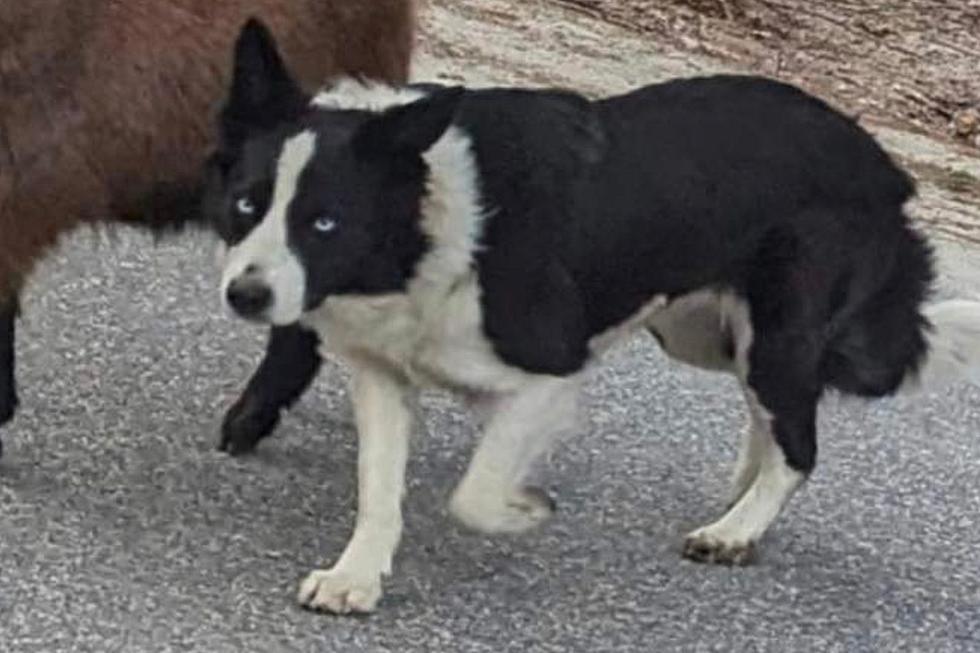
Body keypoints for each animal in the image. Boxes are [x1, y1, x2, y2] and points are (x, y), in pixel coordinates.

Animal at [205, 20, 980, 612]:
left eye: (325, 223)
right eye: (246, 203)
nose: (245, 296)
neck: (425, 222)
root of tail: (883, 164)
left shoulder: (551, 373)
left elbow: (474, 493)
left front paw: (523, 510)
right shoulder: (382, 375)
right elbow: (378, 488)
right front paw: (356, 578)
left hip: (775, 332)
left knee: (801, 442)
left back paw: (736, 528)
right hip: (704, 334)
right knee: (779, 416)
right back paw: (743, 500)